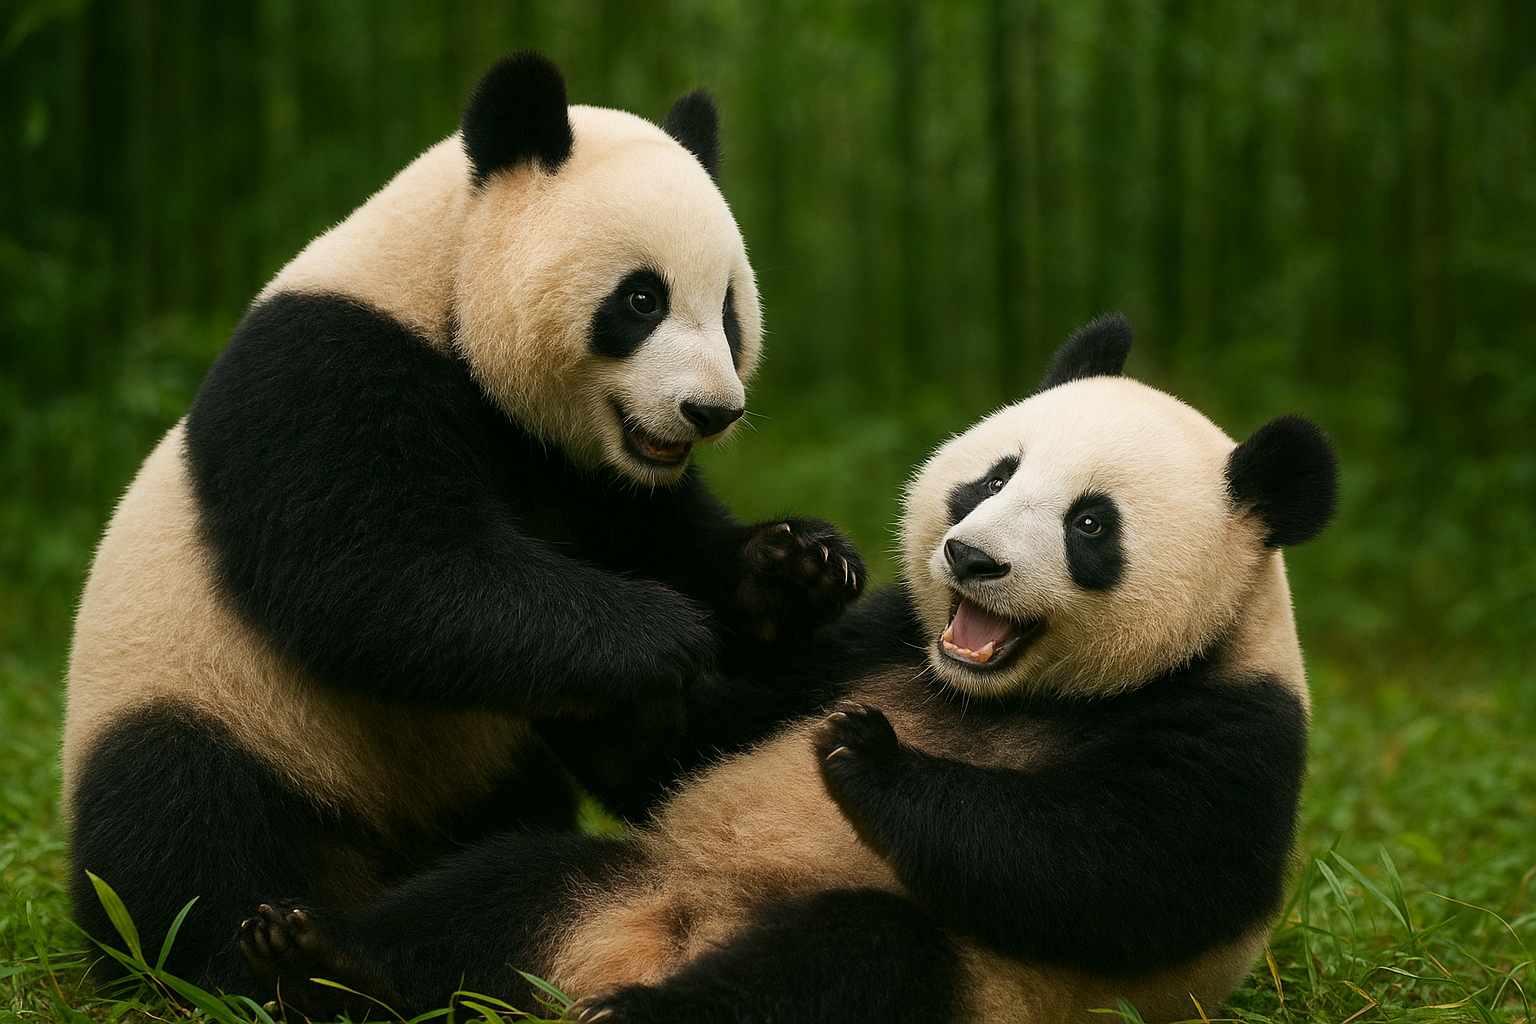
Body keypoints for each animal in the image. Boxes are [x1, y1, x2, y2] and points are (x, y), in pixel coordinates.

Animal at [62, 51, 865, 1001]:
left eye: (731, 308)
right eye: (642, 299)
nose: (710, 411)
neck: (440, 278)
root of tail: (363, 863)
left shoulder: (579, 468)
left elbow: (658, 539)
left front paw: (796, 567)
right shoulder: (328, 369)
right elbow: (381, 572)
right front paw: (660, 638)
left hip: (478, 761)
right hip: (210, 696)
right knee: (177, 817)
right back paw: (239, 969)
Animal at [235, 314, 1337, 1023]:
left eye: (1090, 525)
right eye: (994, 476)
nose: (971, 558)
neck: (1004, 694)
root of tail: (648, 940)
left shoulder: (1229, 717)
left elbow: (1123, 872)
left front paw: (866, 756)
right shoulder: (883, 641)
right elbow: (693, 746)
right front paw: (614, 694)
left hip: (965, 984)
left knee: (844, 968)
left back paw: (635, 1016)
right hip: (627, 873)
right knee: (503, 883)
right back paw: (326, 963)